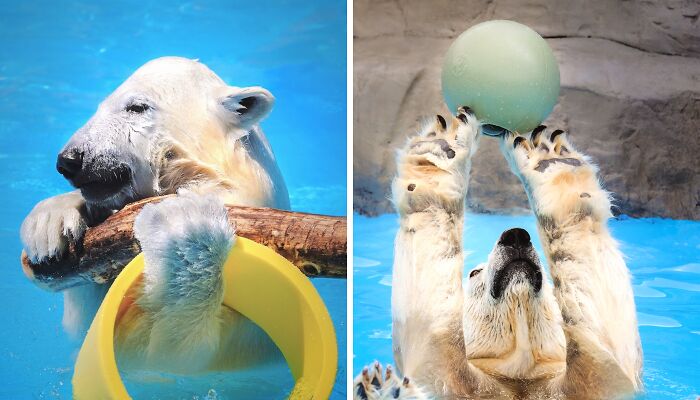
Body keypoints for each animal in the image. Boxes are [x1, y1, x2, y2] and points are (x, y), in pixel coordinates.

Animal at [20, 57, 289, 373]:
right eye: (101, 105)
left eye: (136, 107)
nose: (69, 160)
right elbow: (88, 323)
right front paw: (50, 225)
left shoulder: (244, 339)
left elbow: (171, 355)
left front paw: (186, 229)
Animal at [355, 108, 642, 399]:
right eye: (474, 272)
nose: (515, 236)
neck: (519, 372)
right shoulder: (440, 372)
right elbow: (433, 324)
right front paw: (440, 149)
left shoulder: (603, 380)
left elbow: (602, 336)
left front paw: (552, 162)